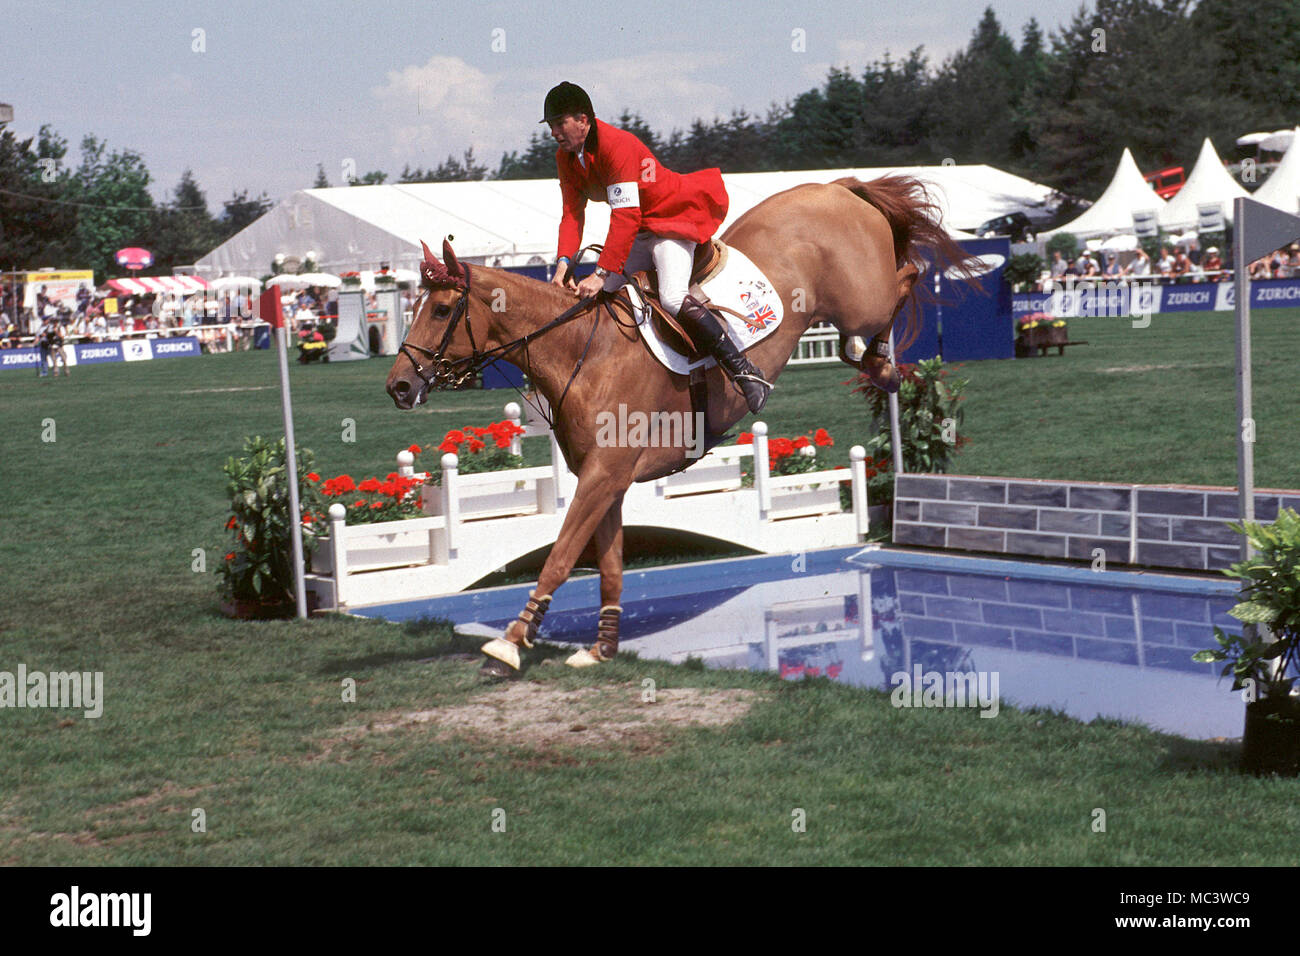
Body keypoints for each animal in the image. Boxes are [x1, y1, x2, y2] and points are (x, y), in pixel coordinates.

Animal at [382, 175, 977, 676]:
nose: (399, 387)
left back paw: (880, 362)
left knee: (907, 276)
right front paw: (601, 647)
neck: (579, 349)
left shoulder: (603, 475)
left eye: (440, 311)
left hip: (859, 299)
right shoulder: (606, 479)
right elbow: (609, 565)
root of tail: (836, 186)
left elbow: (559, 557)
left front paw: (509, 643)